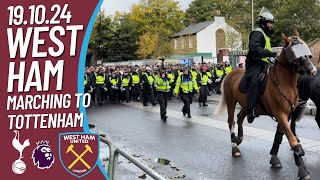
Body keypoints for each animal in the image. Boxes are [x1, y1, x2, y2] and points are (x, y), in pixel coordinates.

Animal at [214, 31, 316, 179]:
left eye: (306, 51)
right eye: (295, 53)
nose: (313, 70)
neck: (285, 83)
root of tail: (230, 74)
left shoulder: (286, 116)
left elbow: (279, 137)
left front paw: (275, 158)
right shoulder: (280, 114)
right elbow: (292, 140)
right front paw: (302, 168)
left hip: (246, 105)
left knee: (240, 118)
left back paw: (239, 138)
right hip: (231, 102)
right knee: (231, 122)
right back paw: (235, 147)